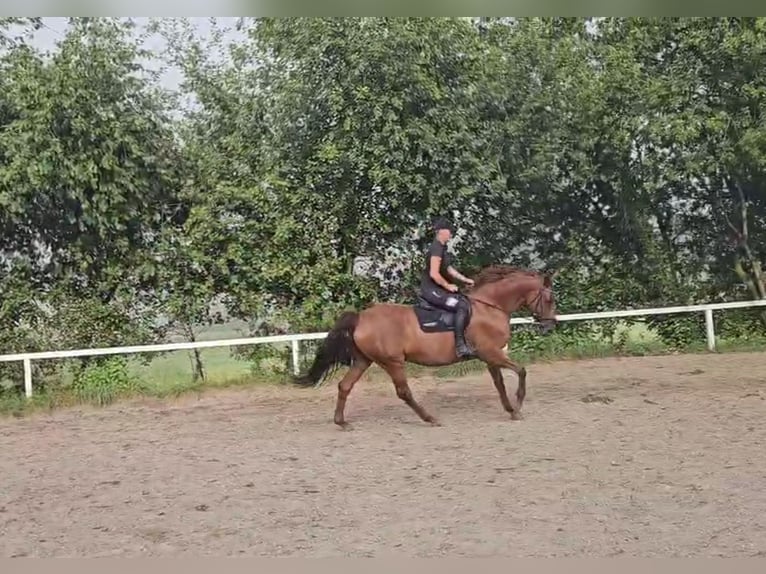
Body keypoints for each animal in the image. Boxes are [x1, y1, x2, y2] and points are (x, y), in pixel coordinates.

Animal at [294, 266, 560, 428]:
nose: (549, 325)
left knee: (345, 386)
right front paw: (519, 404)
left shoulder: (489, 357)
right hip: (393, 362)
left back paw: (341, 422)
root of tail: (361, 317)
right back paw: (430, 418)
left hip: (363, 360)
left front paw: (511, 410)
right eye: (549, 298)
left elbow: (500, 384)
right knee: (403, 392)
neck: (489, 307)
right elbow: (521, 371)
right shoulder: (492, 353)